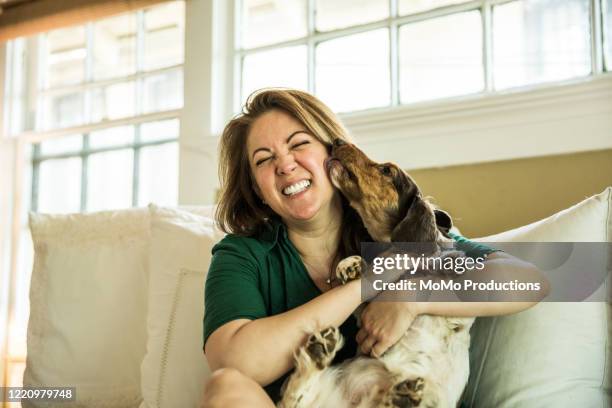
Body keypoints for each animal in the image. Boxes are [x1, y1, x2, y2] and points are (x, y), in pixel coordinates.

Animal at [278, 139, 474, 406]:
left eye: (386, 170)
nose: (336, 142)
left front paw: (449, 260)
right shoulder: (364, 314)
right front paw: (350, 265)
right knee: (295, 393)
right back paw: (321, 352)